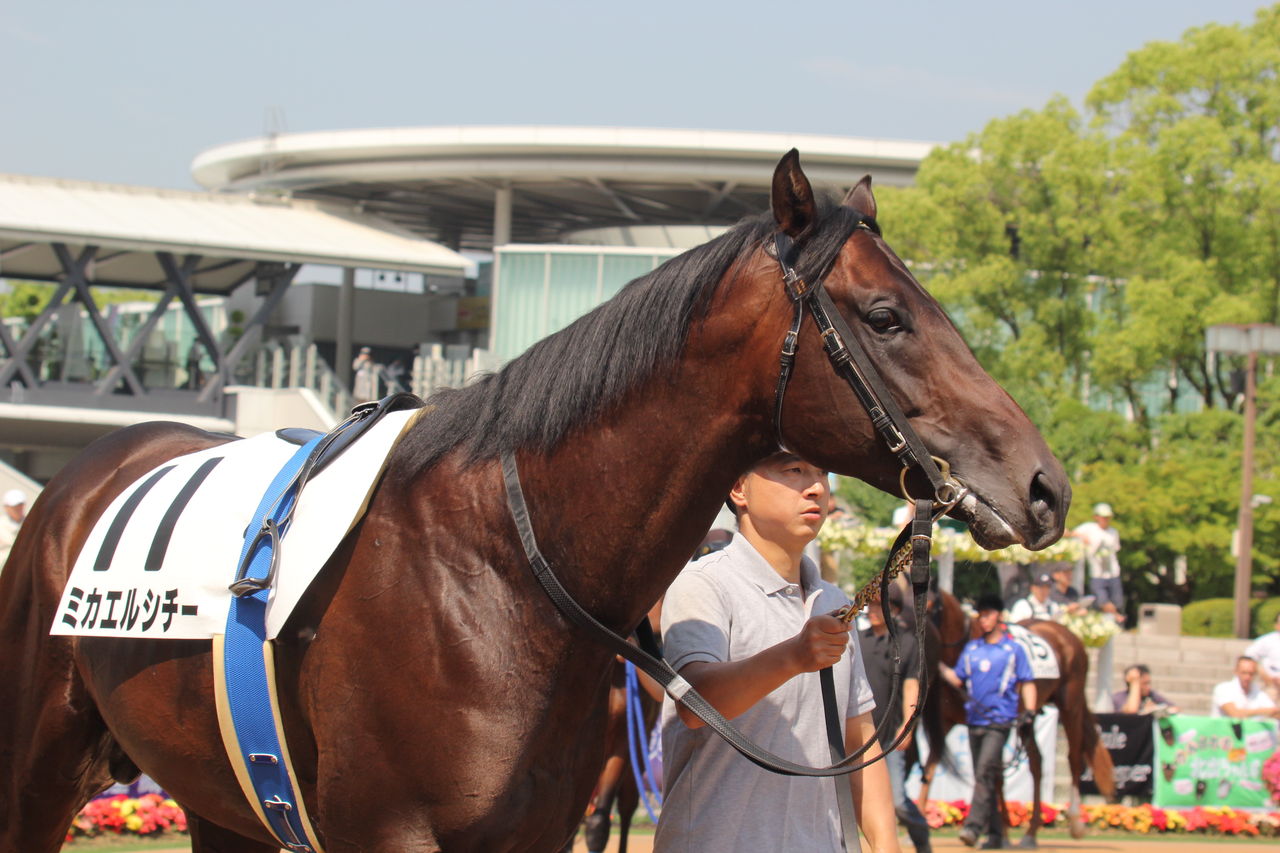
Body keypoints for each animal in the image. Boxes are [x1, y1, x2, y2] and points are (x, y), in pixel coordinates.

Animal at [0, 150, 1071, 853]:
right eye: (887, 317)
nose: (1045, 483)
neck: (497, 574)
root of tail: (79, 482)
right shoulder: (387, 831)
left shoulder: (532, 830)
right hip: (36, 769)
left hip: (230, 805)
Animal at [919, 591, 1115, 848]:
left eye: (931, 607)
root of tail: (1065, 632)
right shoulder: (950, 724)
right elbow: (932, 767)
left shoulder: (997, 723)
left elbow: (994, 775)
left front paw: (998, 834)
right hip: (1028, 719)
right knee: (1037, 763)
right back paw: (1030, 833)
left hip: (1070, 704)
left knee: (1074, 757)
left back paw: (1074, 823)